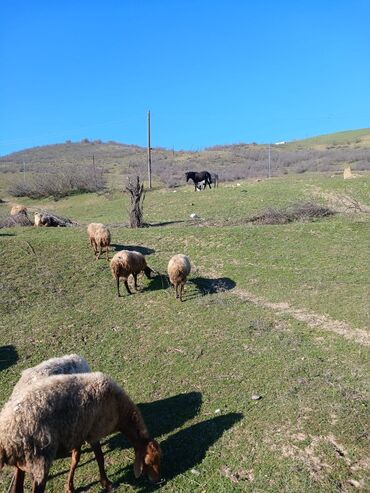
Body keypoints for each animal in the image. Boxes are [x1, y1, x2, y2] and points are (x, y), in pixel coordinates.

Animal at [0, 372, 162, 492]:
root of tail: (6, 436)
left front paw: (70, 486)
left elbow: (75, 459)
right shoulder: (94, 432)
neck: (120, 411)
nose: (157, 480)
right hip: (39, 459)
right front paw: (106, 483)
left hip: (23, 460)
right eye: (150, 461)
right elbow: (100, 458)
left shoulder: (78, 432)